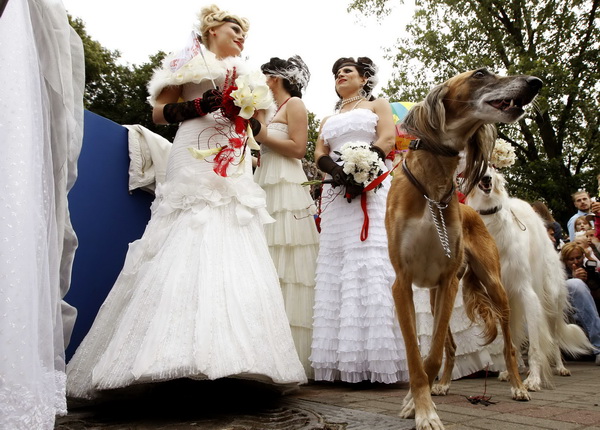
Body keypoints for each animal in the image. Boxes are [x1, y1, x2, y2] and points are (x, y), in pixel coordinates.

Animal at [386, 69, 540, 428]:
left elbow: (430, 354)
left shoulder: (448, 280)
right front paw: (421, 403)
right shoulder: (403, 283)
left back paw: (518, 385)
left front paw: (418, 405)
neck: (431, 187)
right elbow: (417, 354)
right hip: (433, 296)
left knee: (509, 345)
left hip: (494, 285)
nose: (535, 83)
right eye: (480, 74)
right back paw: (442, 385)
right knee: (452, 347)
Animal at [468, 168, 592, 390]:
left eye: (491, 168)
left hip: (551, 299)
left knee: (554, 338)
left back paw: (560, 367)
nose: (486, 179)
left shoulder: (527, 292)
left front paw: (533, 379)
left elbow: (535, 345)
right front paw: (512, 373)